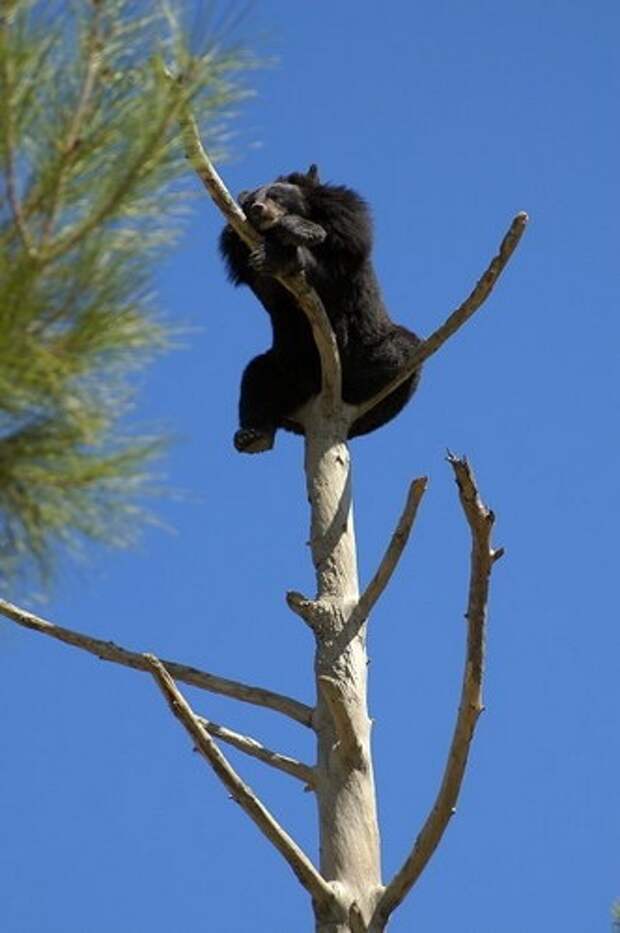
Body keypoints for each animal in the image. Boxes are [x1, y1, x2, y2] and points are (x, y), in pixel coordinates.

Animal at [218, 165, 422, 456]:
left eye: (276, 196)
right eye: (249, 203)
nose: (258, 208)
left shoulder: (346, 227)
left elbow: (331, 271)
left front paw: (298, 236)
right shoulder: (241, 260)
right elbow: (268, 287)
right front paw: (276, 255)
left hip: (369, 344)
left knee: (402, 349)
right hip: (287, 366)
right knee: (257, 374)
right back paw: (253, 436)